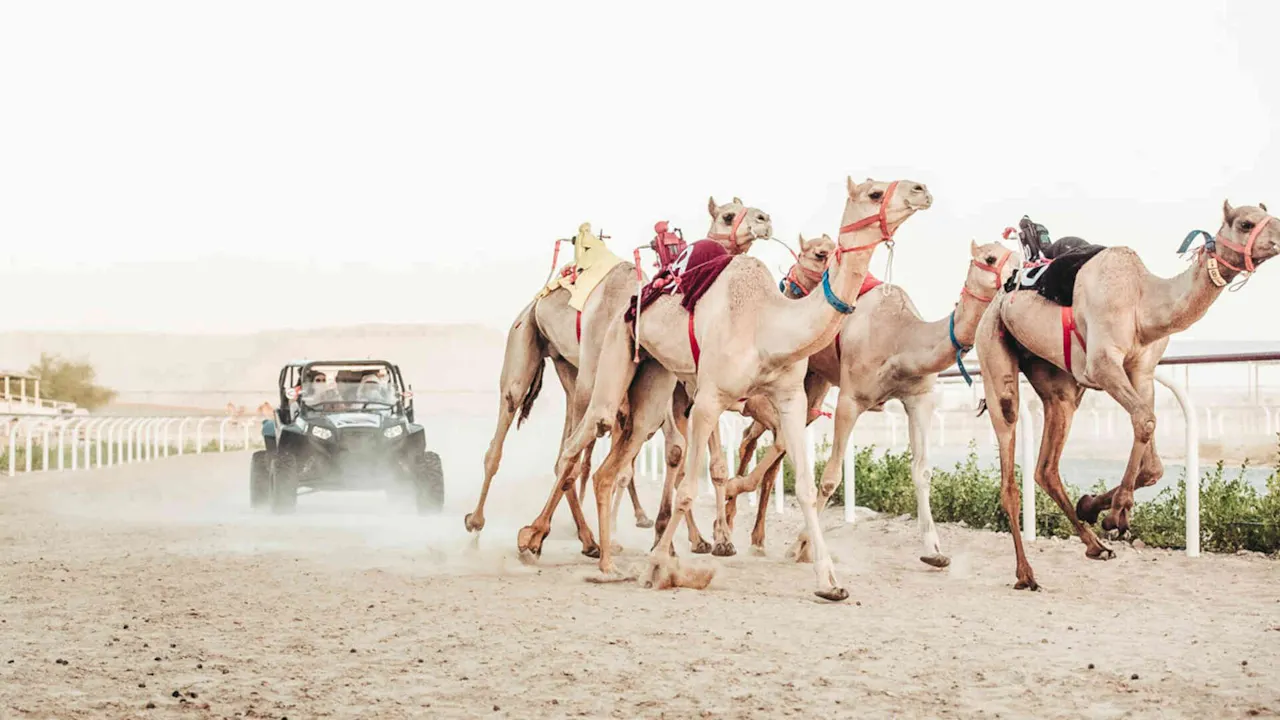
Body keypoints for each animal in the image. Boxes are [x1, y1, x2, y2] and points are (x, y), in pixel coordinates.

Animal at [514, 200, 773, 559]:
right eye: (728, 215)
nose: (764, 220)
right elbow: (676, 451)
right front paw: (674, 538)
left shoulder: (695, 394)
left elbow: (708, 463)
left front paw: (714, 539)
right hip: (586, 377)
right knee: (577, 450)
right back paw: (557, 534)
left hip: (574, 372)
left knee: (585, 449)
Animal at [559, 176, 933, 601]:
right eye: (874, 192)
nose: (921, 189)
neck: (767, 326)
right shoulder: (708, 399)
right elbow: (691, 488)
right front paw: (657, 566)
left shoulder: (790, 398)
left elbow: (805, 486)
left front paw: (829, 582)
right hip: (615, 347)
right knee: (584, 435)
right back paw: (551, 545)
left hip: (654, 379)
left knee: (611, 465)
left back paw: (606, 562)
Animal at [723, 239, 1019, 566]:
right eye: (990, 257)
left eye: (1018, 256)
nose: (1016, 278)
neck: (900, 338)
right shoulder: (850, 400)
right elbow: (831, 477)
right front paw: (801, 547)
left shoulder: (919, 399)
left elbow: (922, 471)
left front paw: (934, 551)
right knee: (753, 436)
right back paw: (733, 513)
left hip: (814, 382)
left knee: (772, 441)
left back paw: (753, 535)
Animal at [975, 200, 1277, 590]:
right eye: (1246, 223)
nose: (1279, 238)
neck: (1142, 303)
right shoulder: (1103, 365)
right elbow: (1145, 420)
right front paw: (1117, 513)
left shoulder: (1141, 371)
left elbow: (1153, 460)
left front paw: (1093, 506)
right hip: (993, 351)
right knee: (1010, 463)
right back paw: (1026, 573)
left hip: (1058, 384)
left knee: (1046, 467)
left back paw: (1095, 546)